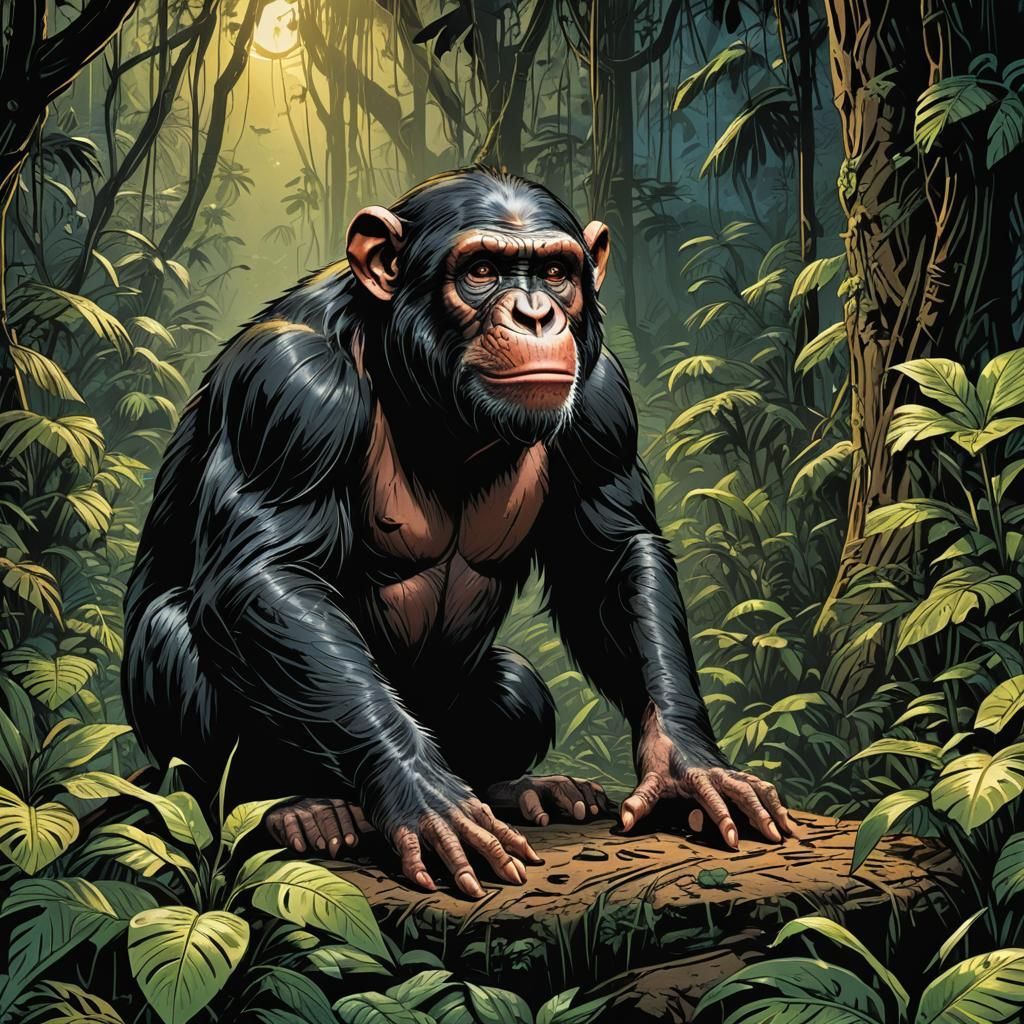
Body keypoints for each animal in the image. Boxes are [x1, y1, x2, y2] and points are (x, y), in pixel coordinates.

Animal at [123, 167, 793, 899]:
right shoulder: (288, 389)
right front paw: (421, 794)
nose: (535, 314)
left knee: (519, 688)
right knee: (175, 632)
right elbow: (269, 572)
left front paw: (687, 763)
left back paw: (520, 788)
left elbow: (611, 554)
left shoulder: (603, 398)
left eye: (555, 272)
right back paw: (300, 809)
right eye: (480, 271)